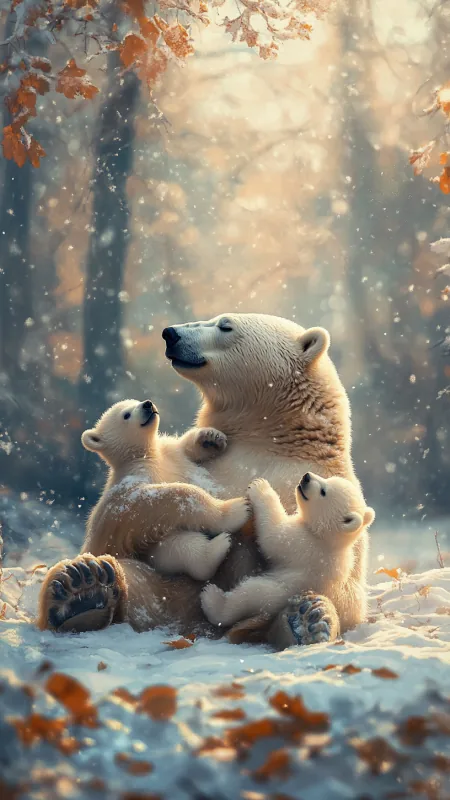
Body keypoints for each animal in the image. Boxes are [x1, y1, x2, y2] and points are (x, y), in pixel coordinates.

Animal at [37, 398, 250, 632]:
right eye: (126, 414)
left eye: (135, 401)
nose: (147, 404)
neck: (146, 455)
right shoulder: (135, 480)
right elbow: (156, 498)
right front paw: (236, 509)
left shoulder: (170, 453)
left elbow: (183, 447)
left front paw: (211, 438)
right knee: (174, 546)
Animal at [201, 473, 375, 635]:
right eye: (328, 478)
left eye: (323, 491)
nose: (306, 477)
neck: (327, 539)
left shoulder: (304, 544)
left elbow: (273, 536)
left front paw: (260, 486)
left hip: (278, 593)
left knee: (248, 595)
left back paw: (212, 598)